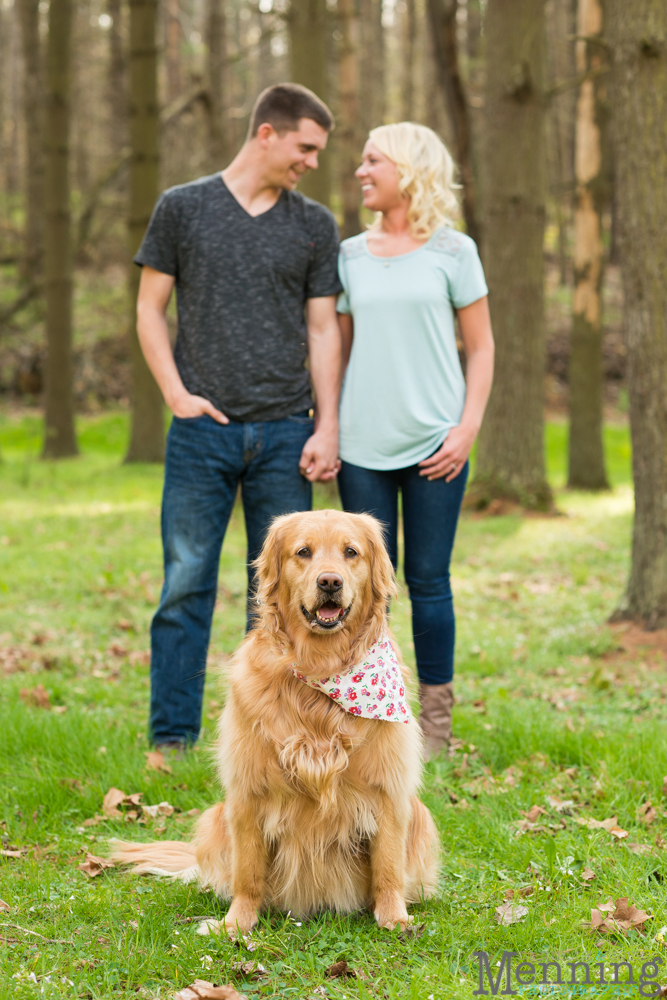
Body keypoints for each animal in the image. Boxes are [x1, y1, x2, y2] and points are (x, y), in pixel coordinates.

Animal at [112, 512, 440, 932]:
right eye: (303, 552)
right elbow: (248, 873)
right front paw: (236, 923)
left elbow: (388, 866)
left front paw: (394, 917)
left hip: (420, 814)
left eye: (351, 552)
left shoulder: (388, 789)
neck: (321, 669)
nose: (329, 582)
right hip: (216, 816)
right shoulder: (247, 792)